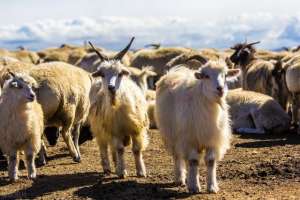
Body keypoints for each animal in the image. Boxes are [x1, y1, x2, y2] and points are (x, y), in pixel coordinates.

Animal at [88, 38, 150, 178]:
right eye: (102, 74)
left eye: (120, 73)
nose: (111, 87)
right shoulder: (115, 130)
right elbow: (120, 149)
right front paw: (122, 172)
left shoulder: (136, 129)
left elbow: (136, 150)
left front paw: (141, 171)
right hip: (99, 128)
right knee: (104, 147)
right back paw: (107, 167)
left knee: (112, 148)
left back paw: (116, 165)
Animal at [156, 61, 240, 194]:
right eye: (206, 76)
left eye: (225, 75)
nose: (220, 89)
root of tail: (174, 73)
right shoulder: (190, 140)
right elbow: (194, 161)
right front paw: (194, 187)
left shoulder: (213, 140)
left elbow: (210, 161)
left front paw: (212, 187)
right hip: (171, 135)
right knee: (177, 156)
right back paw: (179, 178)